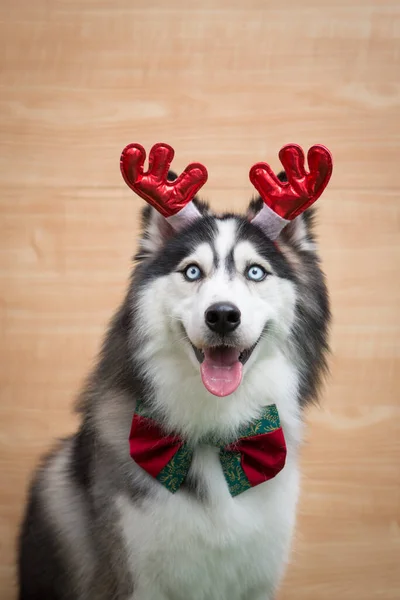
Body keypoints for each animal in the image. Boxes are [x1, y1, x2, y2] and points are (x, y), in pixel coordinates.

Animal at [18, 143, 332, 596]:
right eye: (192, 271)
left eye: (255, 271)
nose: (223, 316)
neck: (216, 436)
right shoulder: (136, 577)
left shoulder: (258, 579)